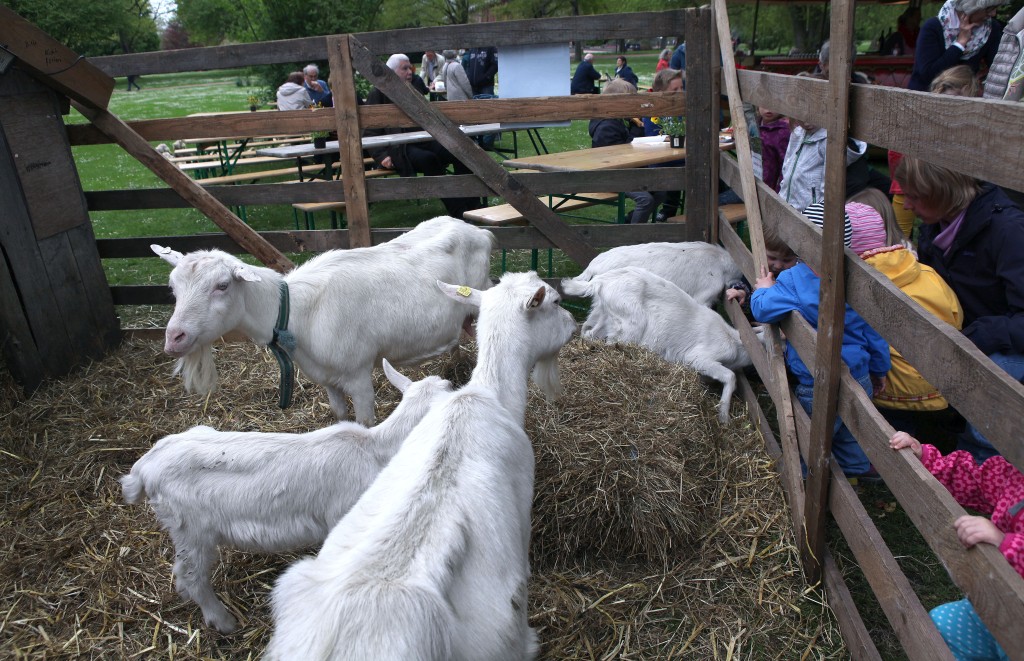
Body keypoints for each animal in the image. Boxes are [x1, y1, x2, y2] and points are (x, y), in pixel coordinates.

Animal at [152, 215, 495, 425]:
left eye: (222, 286)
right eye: (173, 288)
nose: (174, 338)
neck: (298, 313)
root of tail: (480, 232)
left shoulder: (358, 374)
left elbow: (364, 422)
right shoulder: (328, 378)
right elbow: (340, 416)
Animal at [561, 266, 753, 422]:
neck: (735, 342)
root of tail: (600, 282)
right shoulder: (698, 357)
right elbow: (730, 376)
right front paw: (724, 417)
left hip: (606, 317)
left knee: (589, 334)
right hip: (630, 327)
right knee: (610, 343)